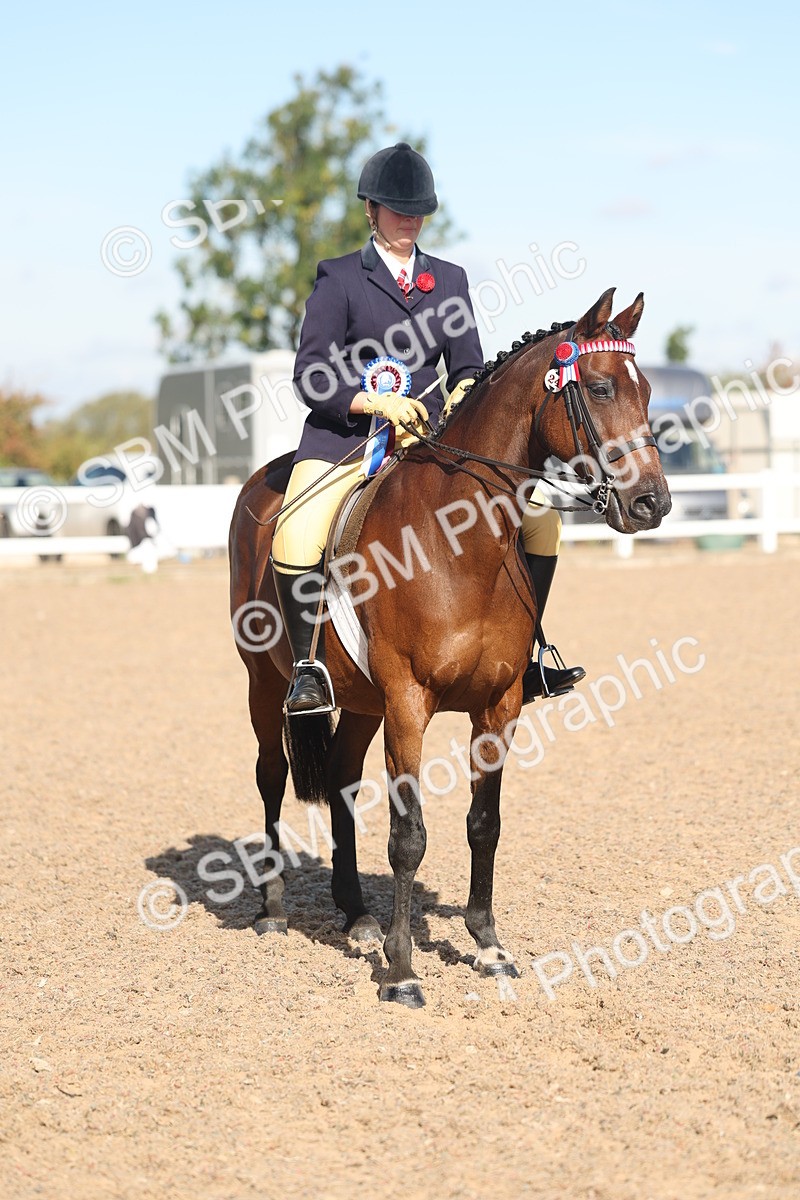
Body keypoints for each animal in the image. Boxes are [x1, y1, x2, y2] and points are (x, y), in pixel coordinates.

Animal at [228, 287, 671, 1008]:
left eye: (648, 390)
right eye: (602, 387)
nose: (652, 503)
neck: (460, 542)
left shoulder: (500, 704)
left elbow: (483, 824)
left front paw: (487, 945)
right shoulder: (410, 703)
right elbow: (409, 836)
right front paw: (403, 971)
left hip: (363, 703)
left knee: (344, 781)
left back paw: (355, 915)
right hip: (265, 685)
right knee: (270, 775)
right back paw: (271, 908)